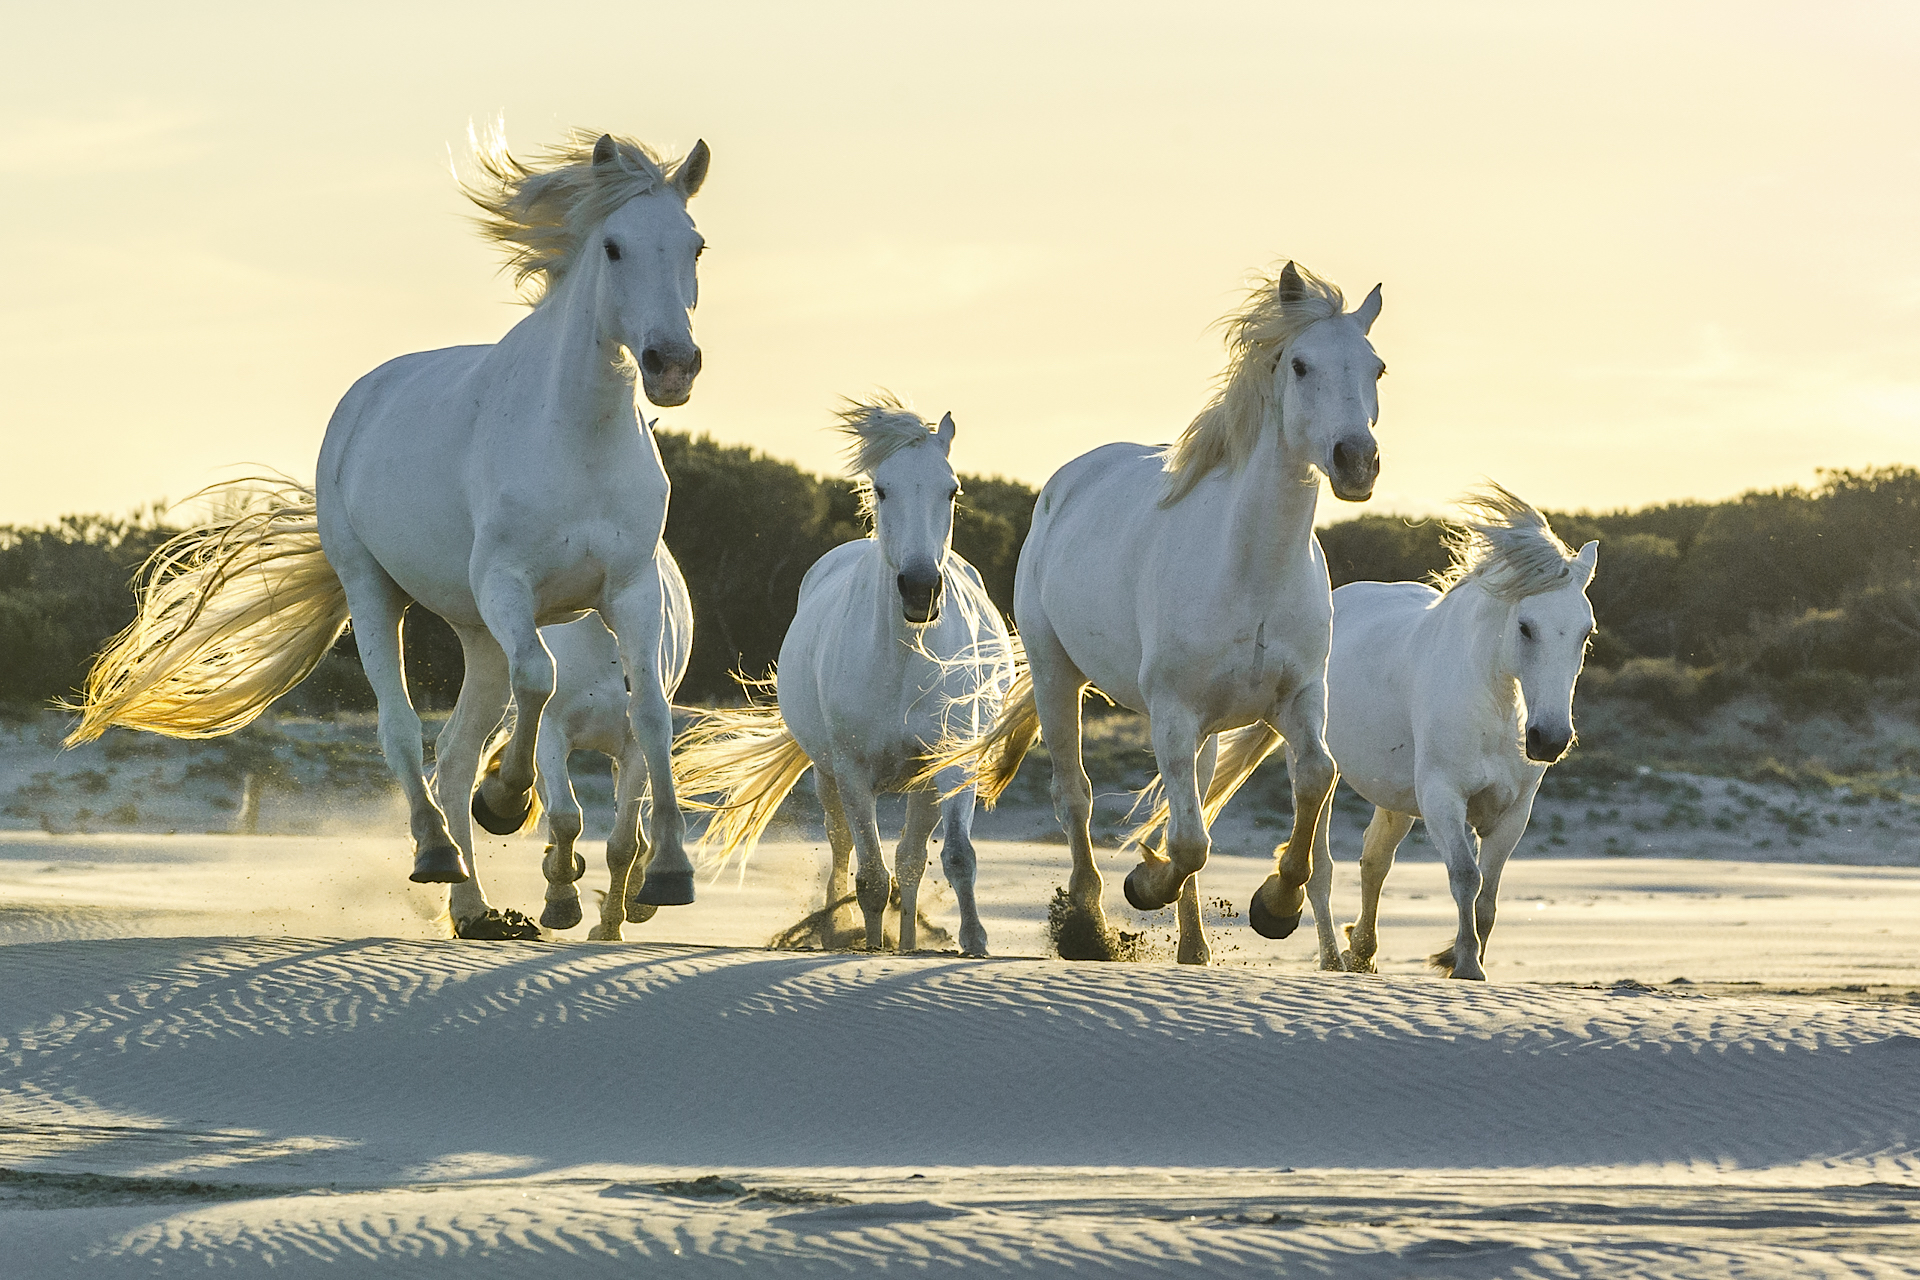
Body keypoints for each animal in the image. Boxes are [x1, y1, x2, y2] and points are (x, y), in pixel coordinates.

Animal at [480, 556, 698, 936]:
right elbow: (566, 817)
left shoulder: (636, 750)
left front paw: (611, 926)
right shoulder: (550, 732)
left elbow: (623, 845)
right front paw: (562, 901)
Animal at [675, 401, 1013, 951]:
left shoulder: (951, 761)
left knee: (911, 861)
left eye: (952, 489)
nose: (920, 589)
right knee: (842, 851)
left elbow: (955, 856)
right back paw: (838, 928)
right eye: (881, 489)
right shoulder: (853, 773)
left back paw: (908, 942)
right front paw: (869, 946)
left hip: (921, 786)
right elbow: (871, 876)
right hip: (827, 777)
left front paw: (974, 942)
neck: (903, 660)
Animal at [940, 262, 1382, 959]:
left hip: (1205, 724)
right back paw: (1089, 926)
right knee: (1076, 796)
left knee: (1189, 796)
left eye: (1377, 368)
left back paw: (1193, 946)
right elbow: (1189, 840)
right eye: (1300, 364)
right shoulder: (1172, 712)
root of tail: (1066, 483)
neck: (1249, 568)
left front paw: (1274, 904)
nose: (1356, 461)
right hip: (1057, 676)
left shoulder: (1301, 698)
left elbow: (1315, 776)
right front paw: (1145, 884)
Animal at [1136, 491, 1589, 982]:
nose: (1549, 739)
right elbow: (1466, 878)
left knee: (1374, 863)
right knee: (1321, 871)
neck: (1497, 707)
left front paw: (1465, 962)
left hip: (1395, 798)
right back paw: (1329, 959)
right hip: (1314, 764)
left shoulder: (1514, 814)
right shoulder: (1442, 798)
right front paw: (1466, 965)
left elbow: (1487, 897)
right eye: (1525, 627)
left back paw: (1362, 954)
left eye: (1586, 633)